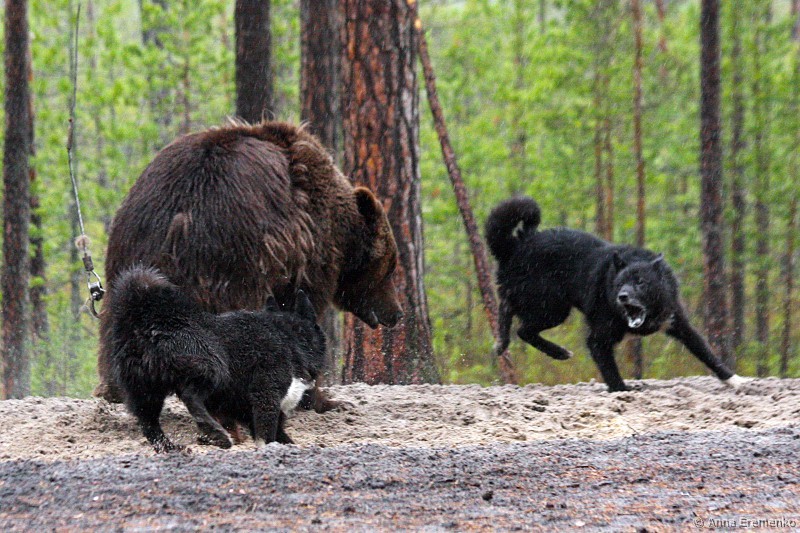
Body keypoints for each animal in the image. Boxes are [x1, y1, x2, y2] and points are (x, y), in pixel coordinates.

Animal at [96, 120, 402, 406]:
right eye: (390, 268)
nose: (397, 313)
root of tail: (176, 221)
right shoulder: (307, 254)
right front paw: (319, 397)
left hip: (129, 252)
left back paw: (115, 388)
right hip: (232, 258)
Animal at [107, 265, 326, 452]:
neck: (287, 337)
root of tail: (150, 325)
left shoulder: (247, 409)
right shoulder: (266, 396)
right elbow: (267, 434)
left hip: (145, 391)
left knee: (149, 424)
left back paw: (171, 448)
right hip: (213, 368)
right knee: (191, 396)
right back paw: (215, 434)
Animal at [486, 196, 745, 393]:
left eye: (641, 282)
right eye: (620, 283)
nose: (623, 296)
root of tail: (516, 246)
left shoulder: (678, 323)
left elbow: (706, 352)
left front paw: (734, 380)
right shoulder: (598, 339)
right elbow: (610, 370)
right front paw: (622, 390)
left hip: (549, 307)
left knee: (514, 316)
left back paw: (507, 343)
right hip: (552, 307)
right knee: (518, 323)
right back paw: (542, 349)